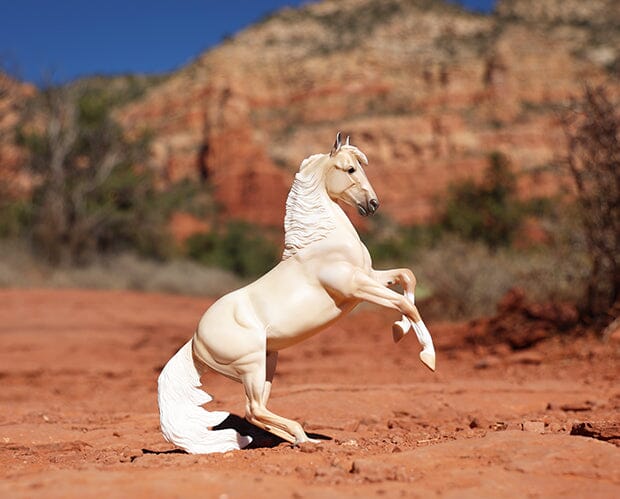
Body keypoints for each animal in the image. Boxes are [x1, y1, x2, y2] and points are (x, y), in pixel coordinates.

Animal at [157, 133, 434, 454]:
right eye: (350, 169)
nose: (373, 204)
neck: (323, 241)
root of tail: (194, 341)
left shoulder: (369, 276)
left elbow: (407, 277)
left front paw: (399, 330)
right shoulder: (354, 286)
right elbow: (404, 303)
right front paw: (428, 358)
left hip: (268, 361)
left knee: (258, 412)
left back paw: (303, 440)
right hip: (251, 365)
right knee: (254, 409)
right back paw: (304, 439)